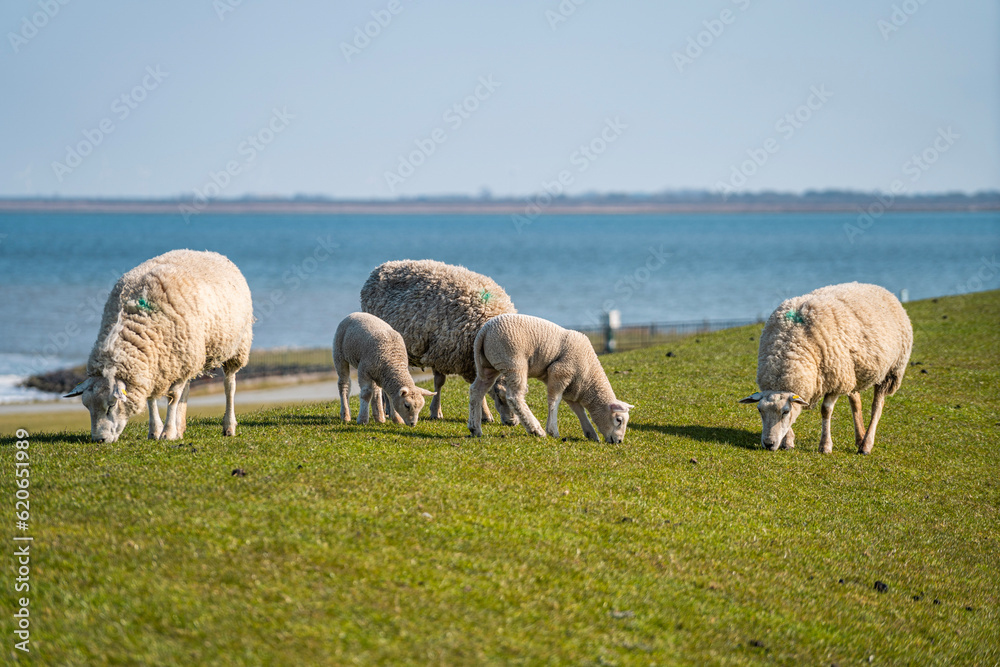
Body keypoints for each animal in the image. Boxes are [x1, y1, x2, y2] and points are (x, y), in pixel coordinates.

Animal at [64, 249, 254, 442]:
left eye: (111, 405)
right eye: (87, 407)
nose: (99, 440)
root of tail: (212, 253)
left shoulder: (175, 358)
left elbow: (173, 396)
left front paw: (167, 432)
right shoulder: (155, 364)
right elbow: (152, 398)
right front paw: (156, 431)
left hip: (235, 348)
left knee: (229, 386)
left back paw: (228, 426)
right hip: (189, 357)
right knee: (187, 390)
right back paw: (180, 427)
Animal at [360, 259, 517, 424]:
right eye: (499, 395)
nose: (512, 423)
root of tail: (384, 266)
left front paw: (484, 414)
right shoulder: (440, 351)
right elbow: (440, 382)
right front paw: (437, 411)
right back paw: (389, 411)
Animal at [468, 314, 634, 443]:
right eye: (619, 420)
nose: (619, 441)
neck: (589, 376)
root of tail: (485, 331)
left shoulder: (572, 389)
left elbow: (578, 409)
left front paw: (591, 433)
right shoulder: (560, 372)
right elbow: (554, 401)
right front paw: (552, 430)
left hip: (488, 365)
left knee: (476, 391)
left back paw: (475, 428)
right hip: (513, 362)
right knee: (514, 397)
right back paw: (535, 429)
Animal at [740, 282, 913, 455]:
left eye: (785, 412)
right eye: (759, 410)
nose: (768, 444)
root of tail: (877, 287)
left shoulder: (835, 380)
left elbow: (826, 410)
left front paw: (825, 445)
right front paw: (787, 441)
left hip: (891, 370)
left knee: (877, 406)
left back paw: (866, 445)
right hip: (851, 370)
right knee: (856, 402)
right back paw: (860, 438)